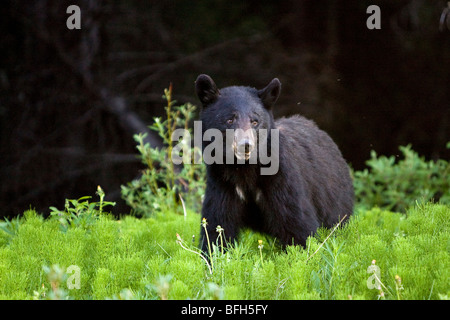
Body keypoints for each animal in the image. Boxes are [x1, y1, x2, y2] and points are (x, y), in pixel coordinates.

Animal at [195, 74, 354, 252]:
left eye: (255, 121)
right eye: (230, 119)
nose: (246, 145)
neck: (244, 169)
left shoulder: (281, 180)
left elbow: (297, 224)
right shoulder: (222, 184)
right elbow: (217, 227)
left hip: (333, 197)